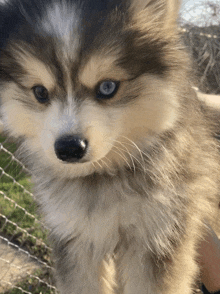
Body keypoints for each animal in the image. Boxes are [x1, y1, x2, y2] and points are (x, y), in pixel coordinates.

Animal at [0, 0, 219, 292]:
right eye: (40, 92)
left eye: (107, 87)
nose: (69, 148)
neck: (103, 177)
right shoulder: (74, 237)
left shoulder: (159, 234)